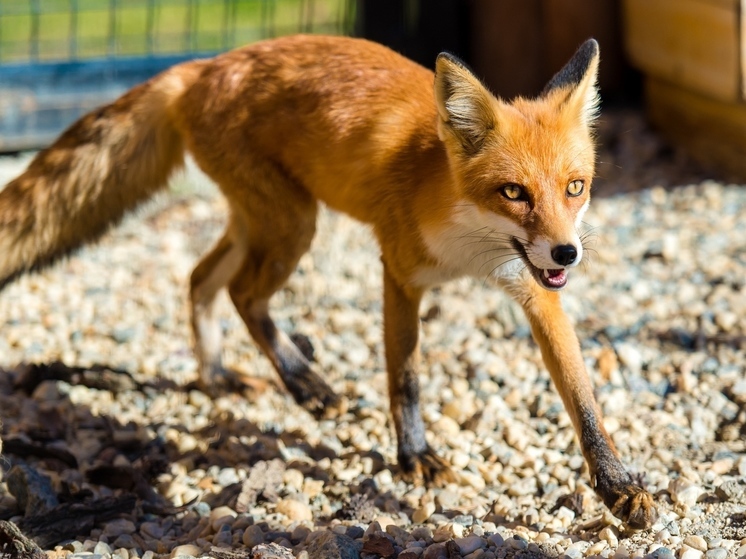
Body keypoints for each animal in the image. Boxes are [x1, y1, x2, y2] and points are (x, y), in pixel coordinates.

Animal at [0, 35, 652, 528]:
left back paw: (216, 375)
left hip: (263, 223)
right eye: (513, 192)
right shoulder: (400, 274)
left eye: (576, 187)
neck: (471, 251)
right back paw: (301, 381)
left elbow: (583, 398)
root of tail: (204, 64)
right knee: (240, 293)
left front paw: (616, 483)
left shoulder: (535, 288)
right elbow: (405, 380)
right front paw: (413, 455)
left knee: (199, 278)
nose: (568, 252)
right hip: (291, 225)